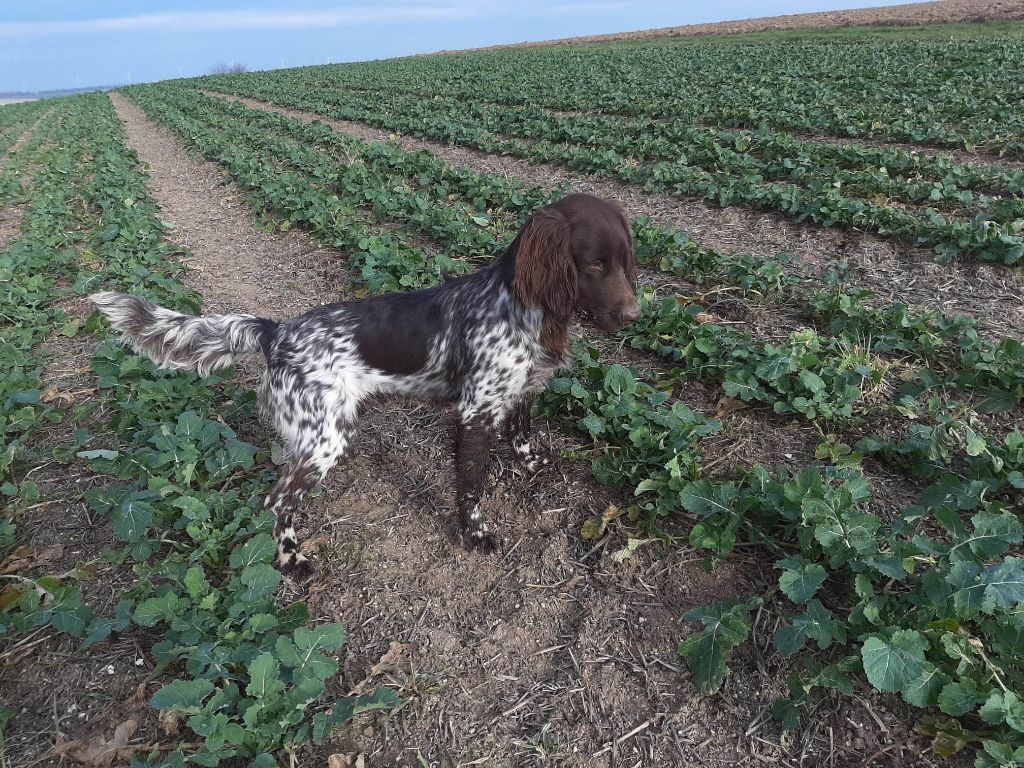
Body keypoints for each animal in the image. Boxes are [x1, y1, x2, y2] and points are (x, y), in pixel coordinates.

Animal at [94, 193, 638, 577]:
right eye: (594, 263)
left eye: (625, 259)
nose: (636, 316)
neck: (522, 307)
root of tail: (275, 331)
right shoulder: (474, 413)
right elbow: (471, 487)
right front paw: (475, 535)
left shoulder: (520, 392)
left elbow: (523, 436)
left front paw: (534, 464)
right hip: (326, 440)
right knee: (278, 501)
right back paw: (291, 560)